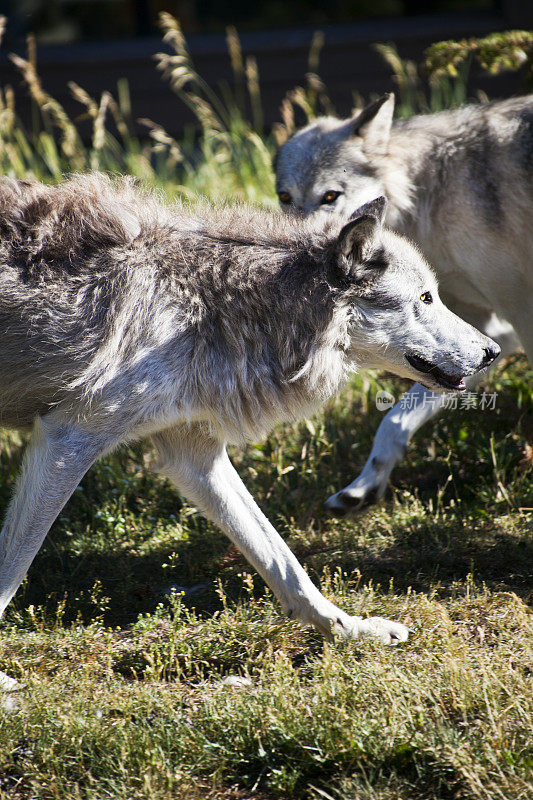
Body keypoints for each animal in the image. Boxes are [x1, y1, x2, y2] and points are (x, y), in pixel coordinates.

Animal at [274, 89, 532, 512]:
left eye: (330, 196)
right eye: (285, 197)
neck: (429, 194)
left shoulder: (517, 321)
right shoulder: (488, 334)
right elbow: (394, 418)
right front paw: (364, 485)